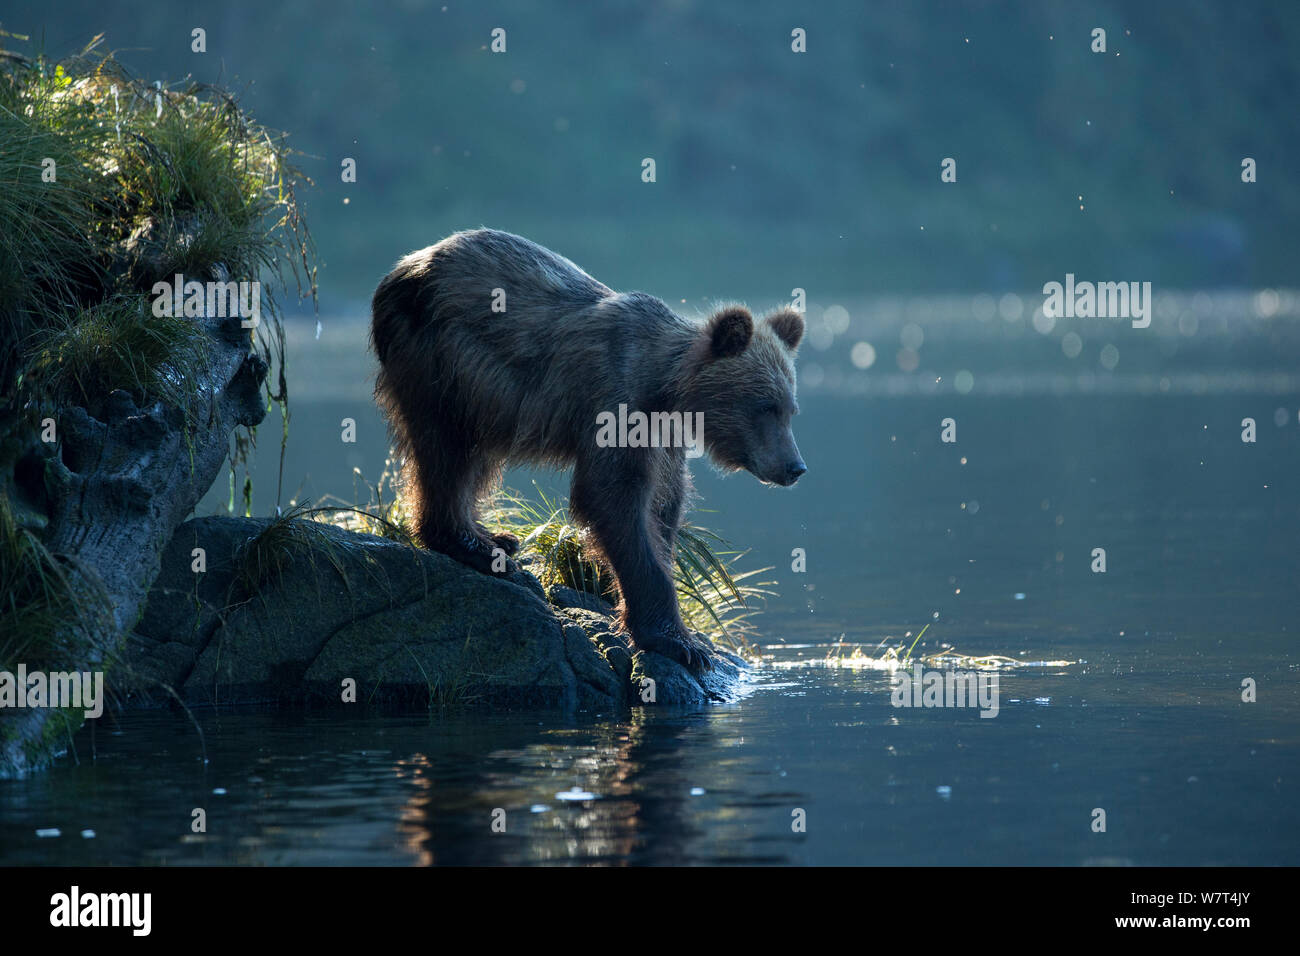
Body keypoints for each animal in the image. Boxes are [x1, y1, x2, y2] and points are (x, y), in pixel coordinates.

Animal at [371, 227, 806, 671]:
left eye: (790, 409)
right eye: (764, 407)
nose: (794, 466)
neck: (663, 390)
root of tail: (403, 268)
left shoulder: (663, 440)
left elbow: (664, 506)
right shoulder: (614, 404)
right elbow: (613, 497)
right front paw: (679, 641)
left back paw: (493, 537)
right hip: (443, 359)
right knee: (446, 449)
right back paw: (471, 543)